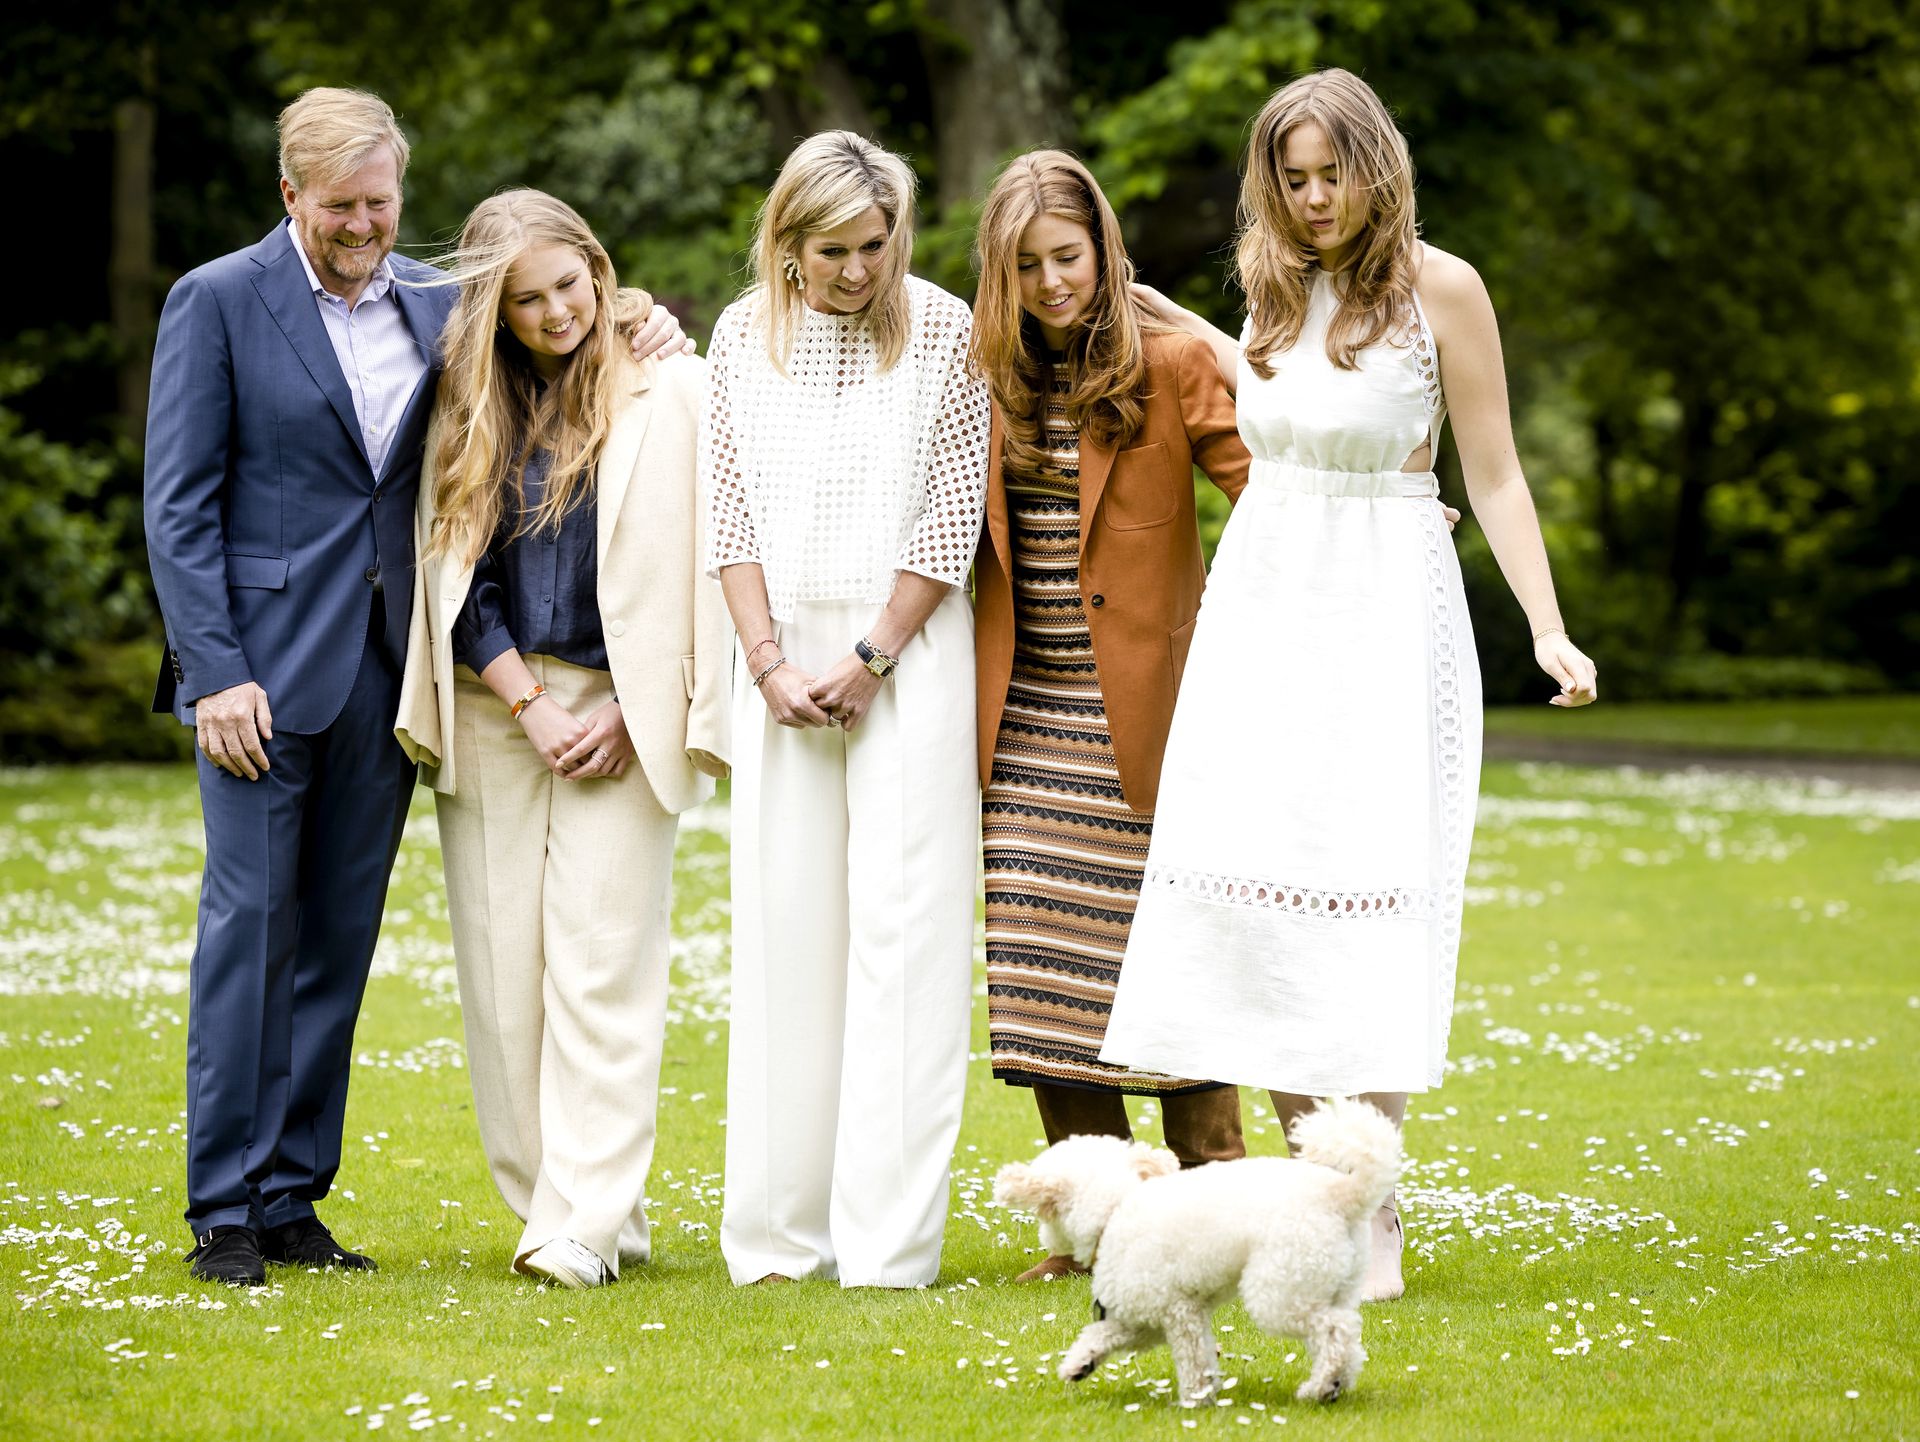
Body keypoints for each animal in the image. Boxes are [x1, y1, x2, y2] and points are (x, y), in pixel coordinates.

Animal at [990, 1098, 1397, 1405]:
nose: (1049, 1241)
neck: (1117, 1207)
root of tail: (1342, 1195)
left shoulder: (1178, 1311)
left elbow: (1193, 1358)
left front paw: (1195, 1400)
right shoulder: (1145, 1315)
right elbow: (1103, 1333)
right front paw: (1080, 1363)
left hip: (1281, 1291)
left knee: (1334, 1329)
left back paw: (1321, 1386)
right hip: (1333, 1282)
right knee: (1347, 1336)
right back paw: (1332, 1385)